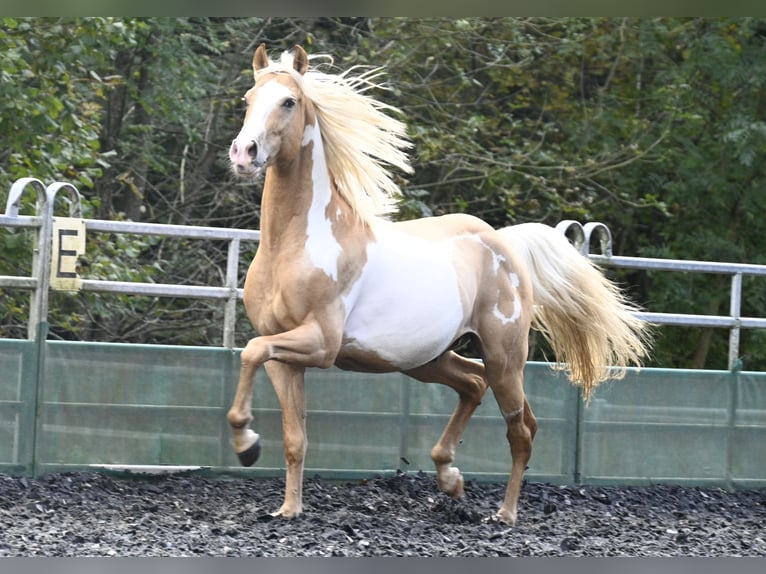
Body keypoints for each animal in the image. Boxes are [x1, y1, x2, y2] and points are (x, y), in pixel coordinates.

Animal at [228, 45, 656, 528]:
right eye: (248, 99)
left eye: (289, 101)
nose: (244, 153)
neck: (295, 244)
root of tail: (503, 242)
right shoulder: (285, 356)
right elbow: (293, 434)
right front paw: (286, 505)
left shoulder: (320, 342)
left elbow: (250, 352)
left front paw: (245, 445)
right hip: (425, 358)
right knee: (472, 385)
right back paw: (449, 477)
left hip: (504, 357)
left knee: (521, 429)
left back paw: (504, 514)